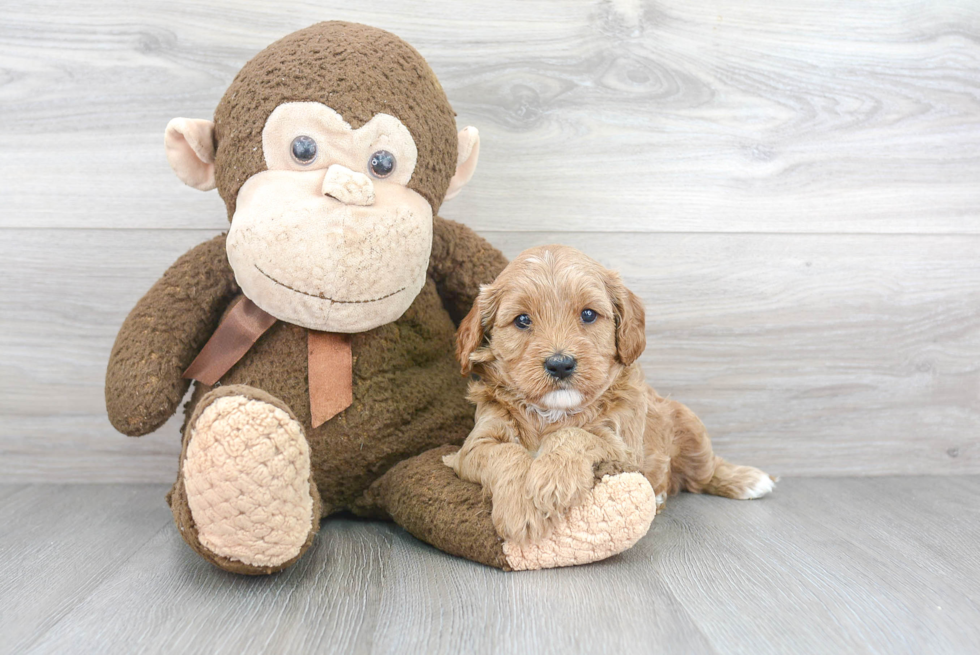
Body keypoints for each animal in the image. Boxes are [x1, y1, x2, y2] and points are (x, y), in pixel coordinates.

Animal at [444, 246, 772, 544]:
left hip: (690, 425)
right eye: (522, 320)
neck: (553, 413)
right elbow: (506, 453)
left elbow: (576, 434)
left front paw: (552, 479)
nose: (560, 364)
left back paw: (747, 480)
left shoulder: (625, 448)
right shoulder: (476, 443)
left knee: (705, 470)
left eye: (588, 314)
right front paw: (520, 510)